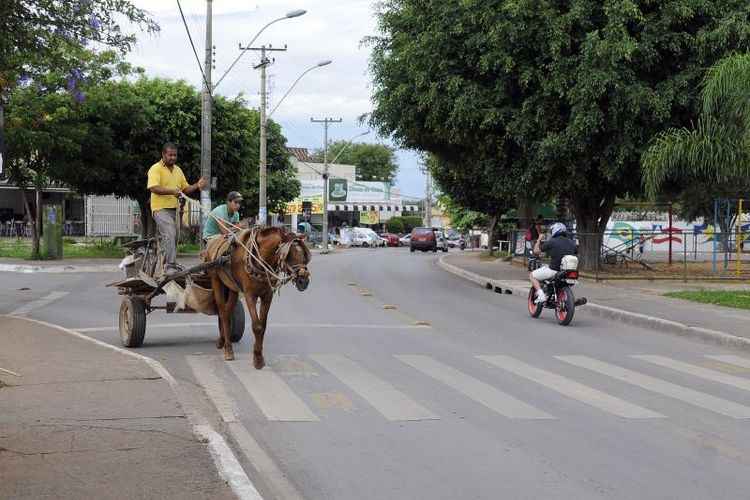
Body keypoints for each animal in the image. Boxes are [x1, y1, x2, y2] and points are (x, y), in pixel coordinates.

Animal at [206, 227, 312, 368]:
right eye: (289, 255)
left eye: (304, 256)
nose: (303, 281)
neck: (259, 259)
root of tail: (213, 240)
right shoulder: (250, 295)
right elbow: (257, 326)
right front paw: (257, 359)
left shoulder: (267, 295)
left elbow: (263, 326)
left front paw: (259, 356)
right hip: (216, 280)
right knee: (222, 313)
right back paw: (228, 349)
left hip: (233, 287)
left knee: (227, 312)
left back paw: (223, 341)